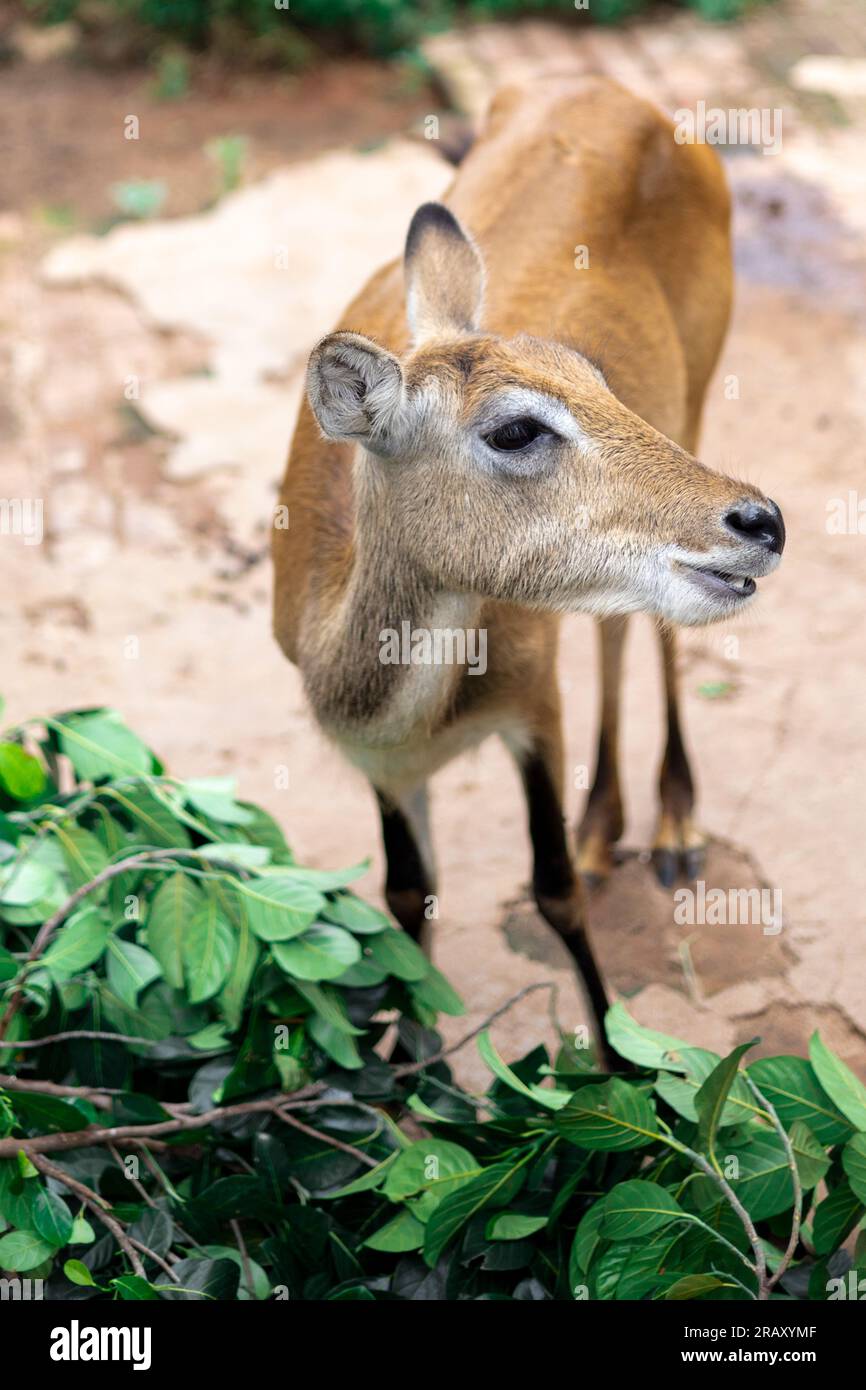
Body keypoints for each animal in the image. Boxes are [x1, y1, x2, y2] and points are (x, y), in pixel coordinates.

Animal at [272, 76, 785, 1066]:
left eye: (591, 375)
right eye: (515, 427)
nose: (763, 521)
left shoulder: (534, 704)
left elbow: (552, 890)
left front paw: (620, 1071)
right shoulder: (383, 765)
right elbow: (406, 894)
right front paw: (408, 1069)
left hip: (699, 400)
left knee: (651, 632)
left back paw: (670, 827)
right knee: (622, 623)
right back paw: (607, 829)